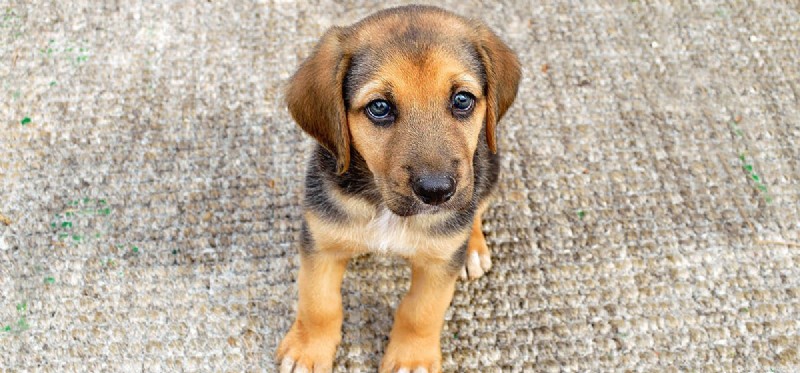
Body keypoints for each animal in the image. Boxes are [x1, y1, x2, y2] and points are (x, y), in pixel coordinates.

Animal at [278, 5, 520, 372]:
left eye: (462, 99)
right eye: (379, 107)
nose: (436, 192)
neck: (384, 208)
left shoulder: (437, 264)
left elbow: (420, 312)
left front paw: (411, 357)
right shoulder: (320, 243)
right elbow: (318, 303)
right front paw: (308, 350)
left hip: (488, 168)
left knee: (477, 207)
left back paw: (473, 248)